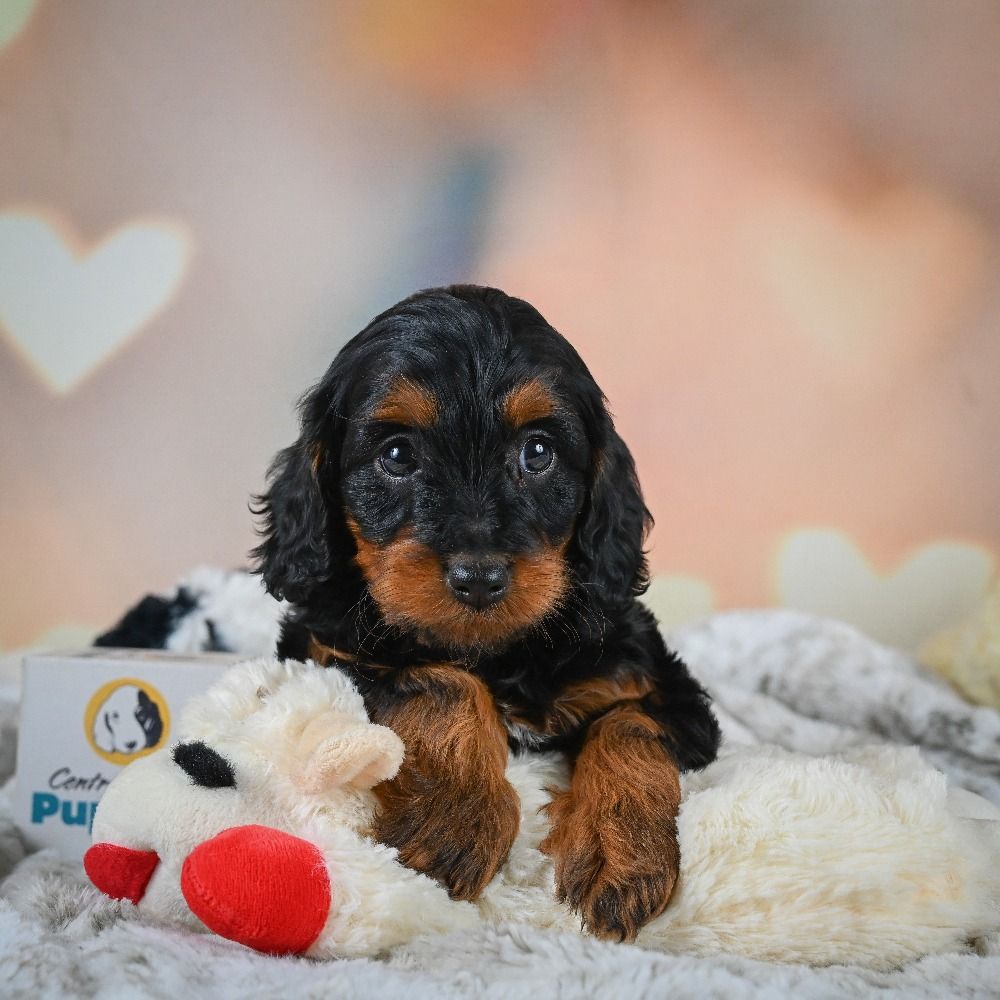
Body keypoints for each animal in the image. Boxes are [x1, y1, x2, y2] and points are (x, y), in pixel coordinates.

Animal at [250, 282, 720, 936]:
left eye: (538, 451)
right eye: (398, 454)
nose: (479, 578)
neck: (498, 652)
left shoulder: (670, 691)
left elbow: (630, 724)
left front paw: (620, 851)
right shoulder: (324, 649)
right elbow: (443, 684)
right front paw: (457, 817)